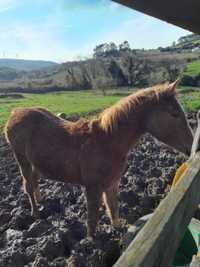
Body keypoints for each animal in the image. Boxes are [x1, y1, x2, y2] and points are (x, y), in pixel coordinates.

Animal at [3, 80, 193, 238]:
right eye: (174, 114)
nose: (191, 146)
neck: (107, 141)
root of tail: (15, 112)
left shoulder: (112, 183)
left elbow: (113, 207)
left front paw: (118, 229)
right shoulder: (93, 187)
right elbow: (93, 218)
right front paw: (92, 241)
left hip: (35, 162)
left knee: (35, 181)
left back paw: (41, 200)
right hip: (22, 160)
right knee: (28, 185)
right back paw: (36, 215)